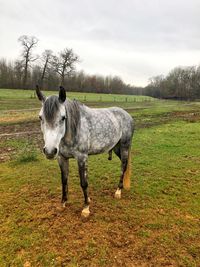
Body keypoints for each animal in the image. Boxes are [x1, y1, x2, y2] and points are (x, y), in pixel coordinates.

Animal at [36, 86, 134, 218]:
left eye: (63, 117)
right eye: (41, 117)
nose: (50, 151)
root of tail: (127, 115)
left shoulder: (82, 158)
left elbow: (83, 183)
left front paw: (86, 208)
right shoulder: (62, 158)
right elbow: (64, 180)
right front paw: (63, 204)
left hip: (124, 146)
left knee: (123, 166)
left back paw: (118, 191)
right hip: (116, 148)